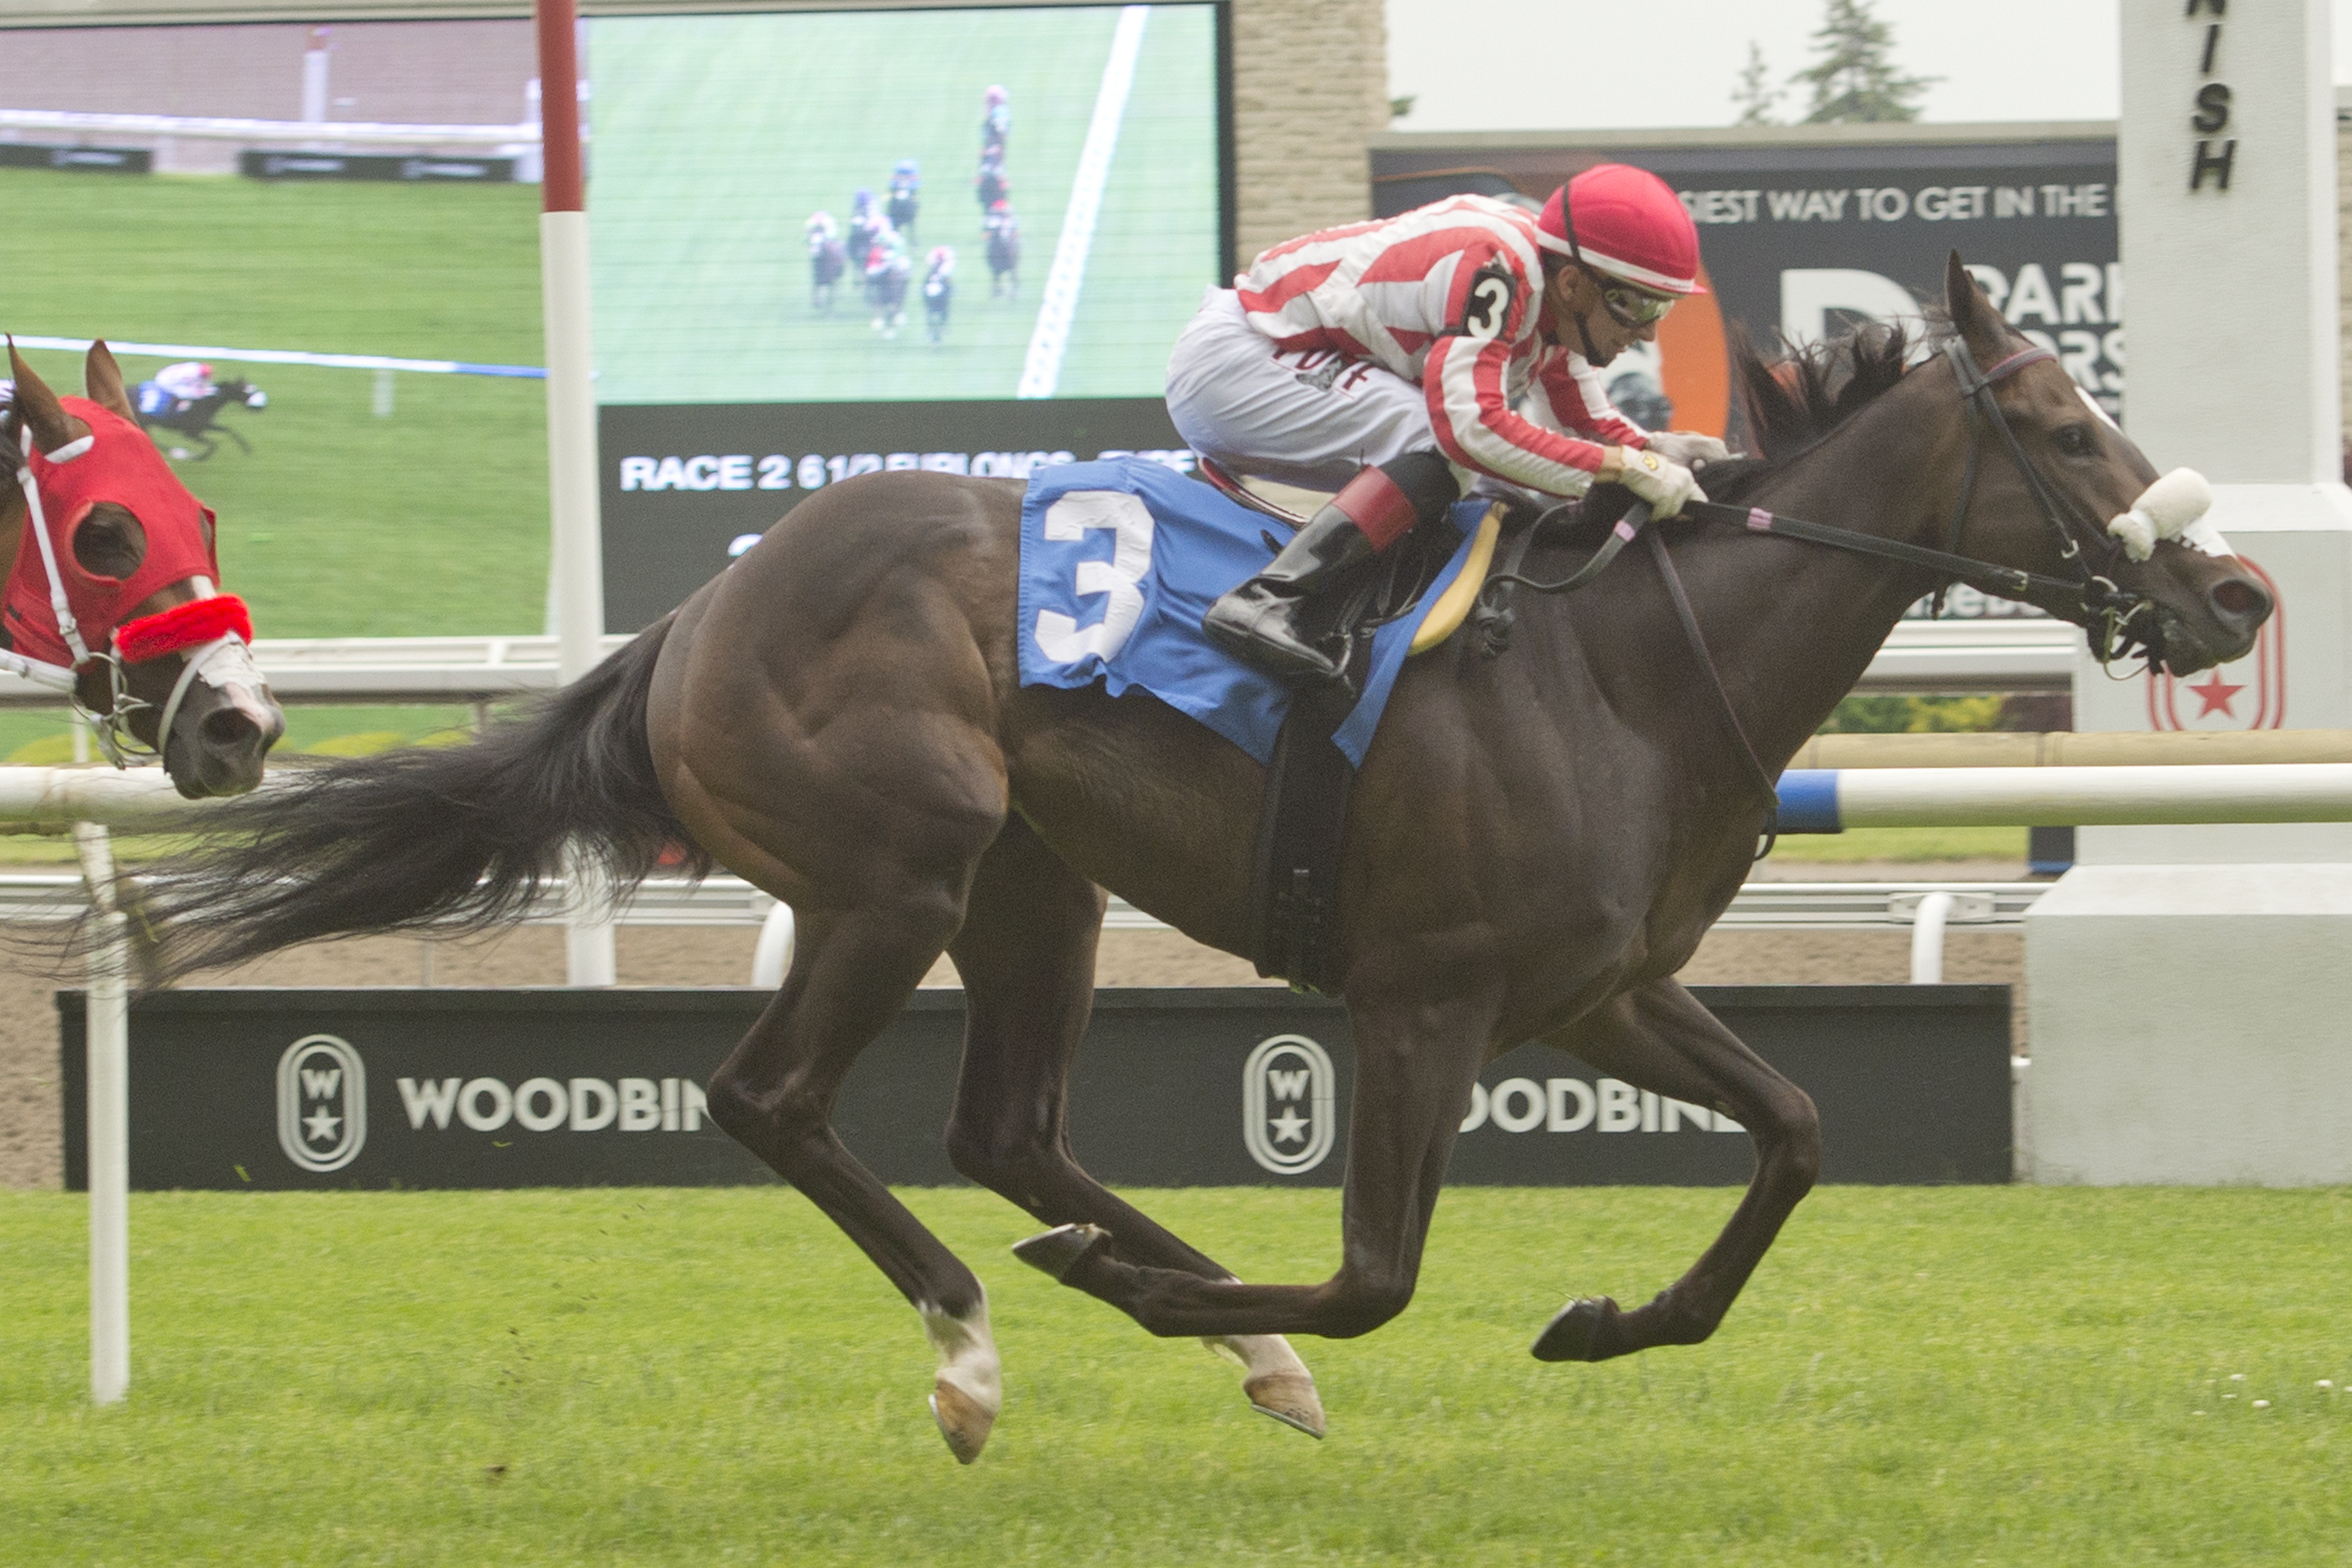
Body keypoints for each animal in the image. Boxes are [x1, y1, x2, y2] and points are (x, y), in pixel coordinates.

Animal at [137, 255, 2267, 1457]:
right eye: (2065, 421)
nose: (2238, 590)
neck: (1634, 664)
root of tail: (698, 611)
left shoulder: (1603, 987)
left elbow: (1803, 1129)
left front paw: (1606, 1320)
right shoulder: (1426, 998)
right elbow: (1377, 1273)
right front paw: (1202, 1309)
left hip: (1036, 880)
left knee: (1007, 1130)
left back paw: (1158, 1300)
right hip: (897, 870)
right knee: (773, 1099)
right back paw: (985, 1345)